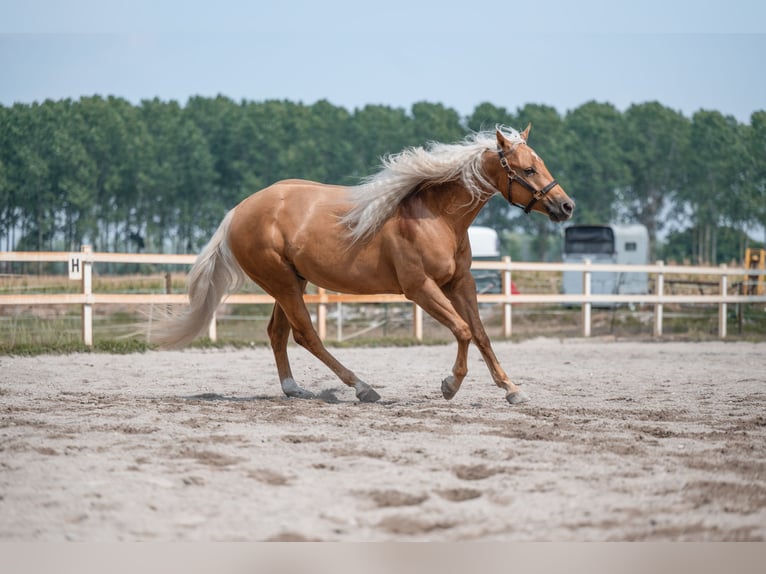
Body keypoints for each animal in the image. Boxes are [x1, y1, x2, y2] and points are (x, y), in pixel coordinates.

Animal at [153, 125, 574, 405]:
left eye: (541, 163)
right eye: (528, 169)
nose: (566, 206)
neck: (435, 216)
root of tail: (238, 211)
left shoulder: (461, 283)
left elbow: (482, 334)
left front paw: (512, 389)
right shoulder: (419, 288)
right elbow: (462, 330)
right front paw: (449, 386)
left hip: (291, 283)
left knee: (277, 333)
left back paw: (295, 389)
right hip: (283, 284)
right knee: (306, 335)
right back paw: (362, 387)